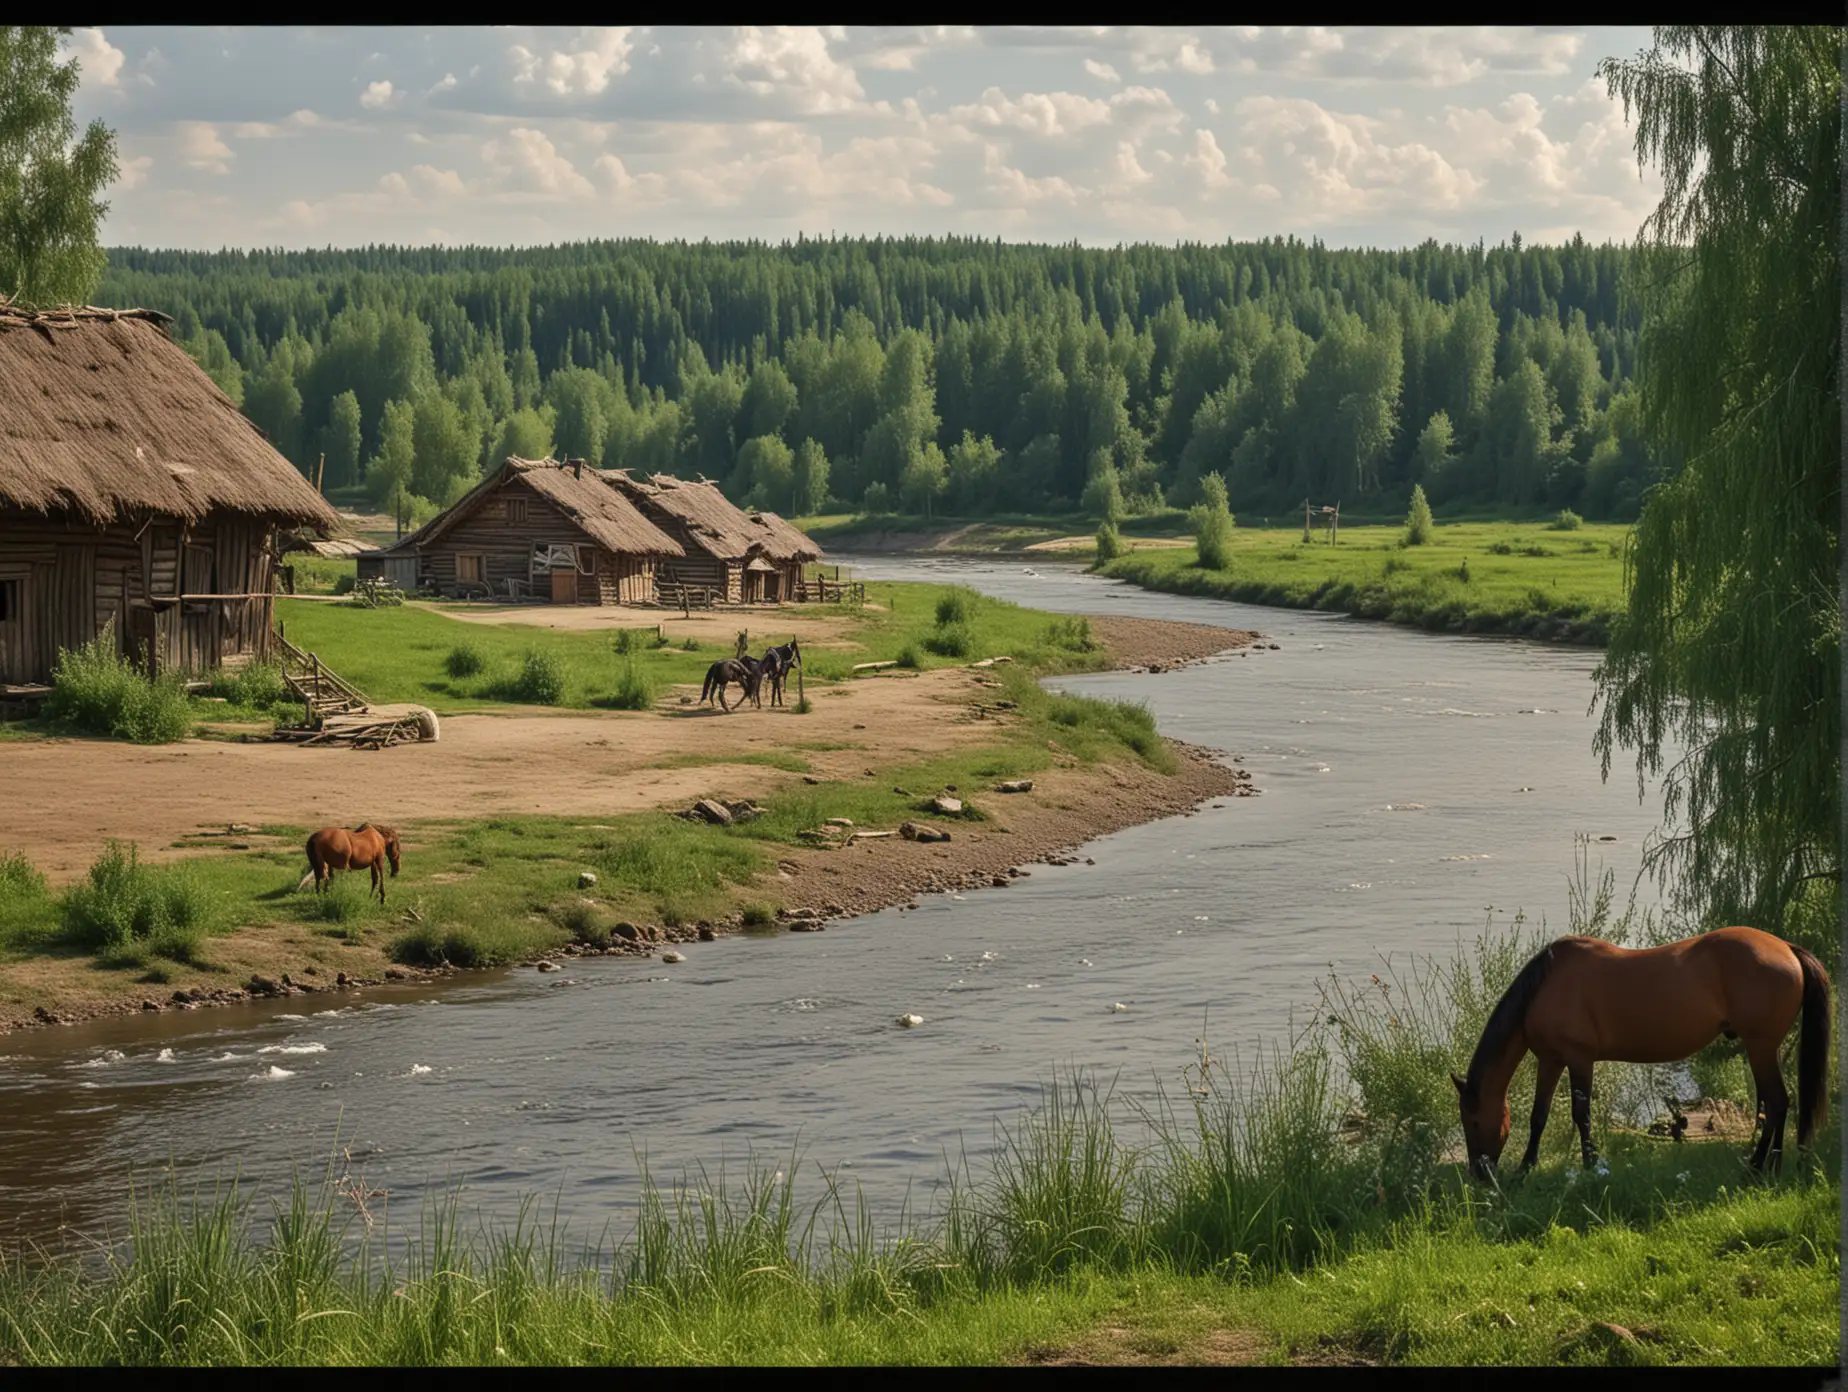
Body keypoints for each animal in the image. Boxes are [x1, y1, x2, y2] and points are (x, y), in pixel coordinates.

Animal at [1456, 928, 1833, 1175]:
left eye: (1472, 1121)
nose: (1479, 1174)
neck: (1546, 986)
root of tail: (1786, 947)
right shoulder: (1550, 1060)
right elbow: (1539, 1115)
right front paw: (1525, 1168)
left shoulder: (1579, 1059)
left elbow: (1581, 1114)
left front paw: (1590, 1164)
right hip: (1764, 1048)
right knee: (1775, 1103)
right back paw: (1768, 1163)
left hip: (1760, 1046)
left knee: (1778, 1102)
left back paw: (1760, 1165)